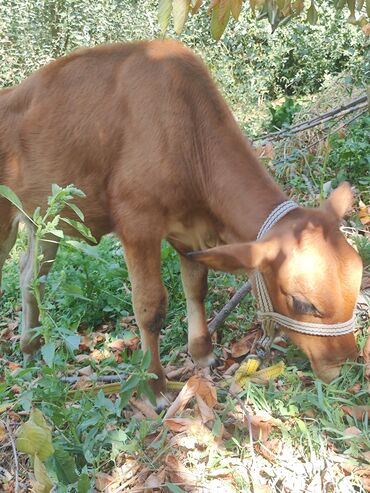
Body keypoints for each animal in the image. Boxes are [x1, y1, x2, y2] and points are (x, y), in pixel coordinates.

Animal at [0, 40, 362, 406]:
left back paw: (30, 348)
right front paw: (156, 385)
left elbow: (196, 287)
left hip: (47, 218)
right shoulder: (138, 223)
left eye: (358, 282)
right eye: (303, 303)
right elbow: (150, 306)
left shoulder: (191, 231)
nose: (348, 369)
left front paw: (202, 353)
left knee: (31, 276)